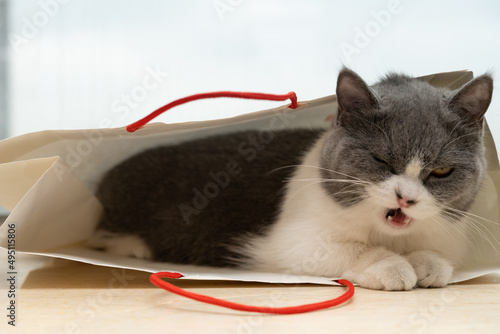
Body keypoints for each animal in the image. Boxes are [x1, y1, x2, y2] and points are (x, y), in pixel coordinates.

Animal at [88, 68, 494, 290]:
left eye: (440, 171)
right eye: (380, 159)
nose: (405, 198)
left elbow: (438, 253)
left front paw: (429, 263)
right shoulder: (283, 243)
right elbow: (345, 248)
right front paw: (390, 265)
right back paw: (134, 247)